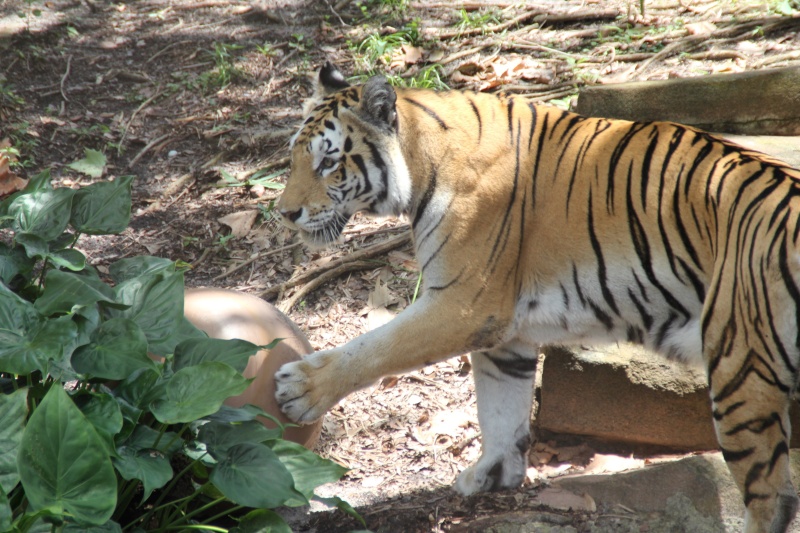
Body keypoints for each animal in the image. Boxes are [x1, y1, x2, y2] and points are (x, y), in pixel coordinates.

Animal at [274, 61, 800, 528]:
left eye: (328, 160)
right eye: (294, 158)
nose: (285, 214)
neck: (422, 159)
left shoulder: (463, 305)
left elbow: (377, 347)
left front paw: (300, 388)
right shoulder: (506, 332)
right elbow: (501, 406)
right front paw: (492, 475)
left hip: (740, 367)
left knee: (772, 497)